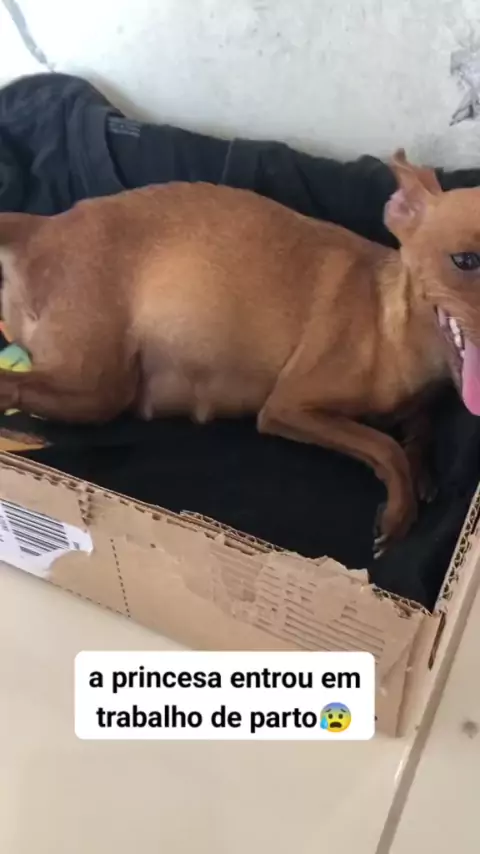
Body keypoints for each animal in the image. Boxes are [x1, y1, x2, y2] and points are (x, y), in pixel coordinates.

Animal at [0, 149, 478, 554]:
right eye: (465, 261)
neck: (392, 325)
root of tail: (41, 225)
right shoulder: (288, 407)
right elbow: (383, 445)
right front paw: (400, 509)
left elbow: (418, 427)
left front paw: (423, 474)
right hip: (97, 388)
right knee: (17, 387)